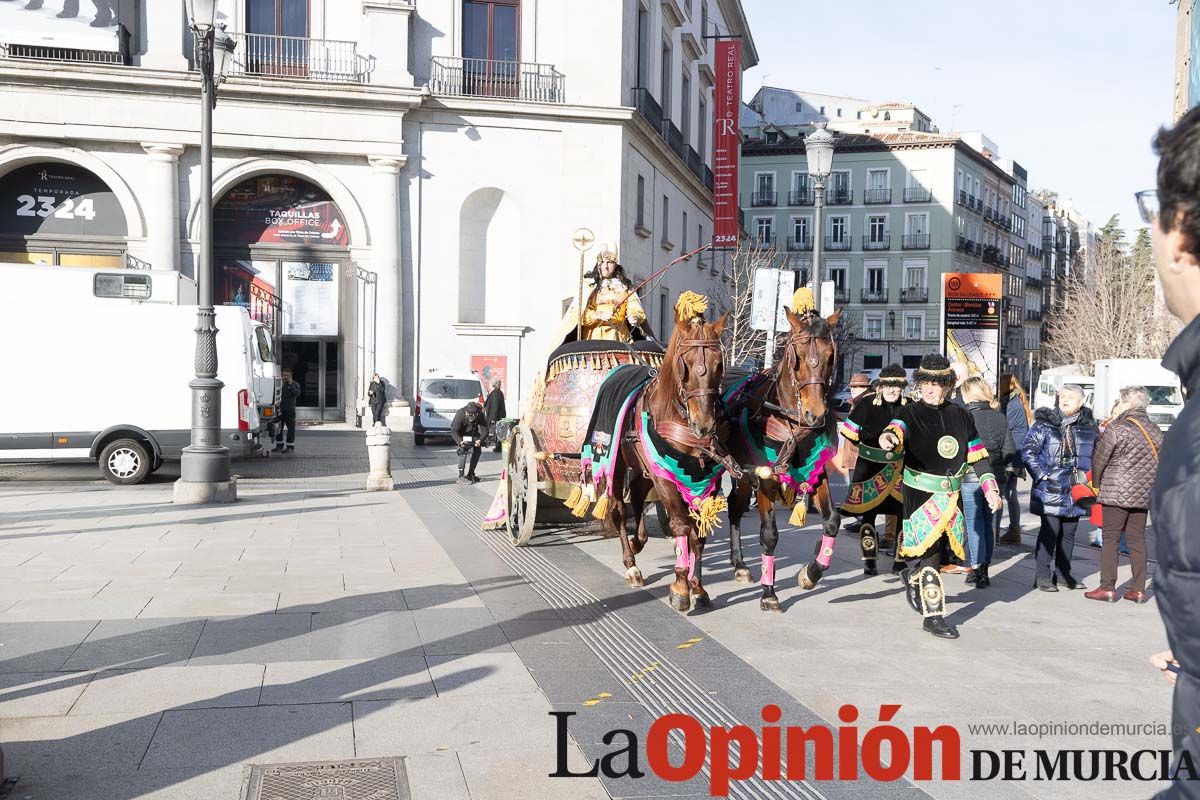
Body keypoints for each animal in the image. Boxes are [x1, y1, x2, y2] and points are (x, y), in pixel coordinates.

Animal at [597, 303, 734, 609]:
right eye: (685, 364)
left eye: (720, 365)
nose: (704, 425)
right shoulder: (665, 478)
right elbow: (682, 526)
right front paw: (681, 586)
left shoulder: (707, 481)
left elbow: (699, 533)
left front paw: (697, 586)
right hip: (618, 462)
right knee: (620, 510)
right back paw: (631, 563)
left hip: (642, 468)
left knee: (637, 495)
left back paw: (638, 541)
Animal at [720, 307, 844, 614]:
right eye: (796, 355)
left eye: (830, 356)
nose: (815, 413)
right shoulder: (765, 476)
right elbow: (769, 535)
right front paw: (769, 593)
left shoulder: (816, 470)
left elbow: (832, 521)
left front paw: (811, 573)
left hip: (741, 472)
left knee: (734, 506)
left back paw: (739, 564)